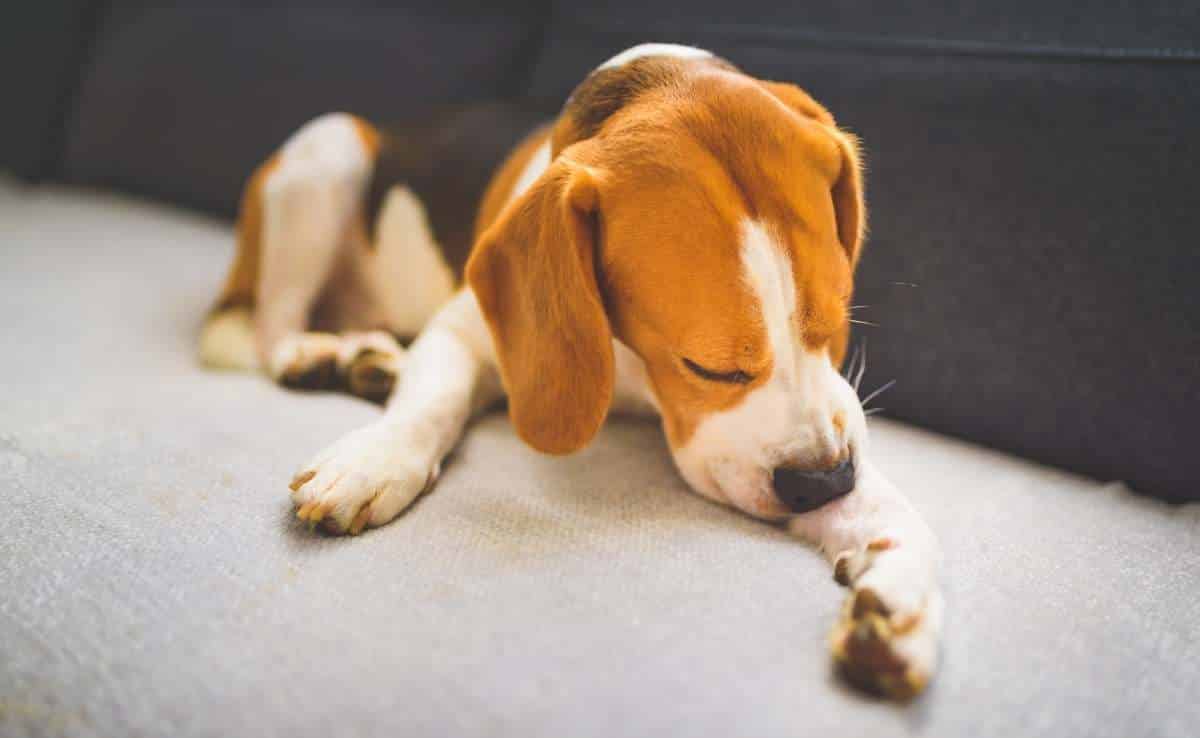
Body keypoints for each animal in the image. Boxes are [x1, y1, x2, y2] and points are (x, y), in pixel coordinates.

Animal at [201, 43, 940, 700]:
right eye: (708, 367)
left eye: (837, 325)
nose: (825, 483)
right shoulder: (460, 332)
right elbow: (432, 401)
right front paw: (376, 458)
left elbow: (888, 506)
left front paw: (902, 593)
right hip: (327, 153)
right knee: (269, 326)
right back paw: (320, 354)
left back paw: (369, 358)